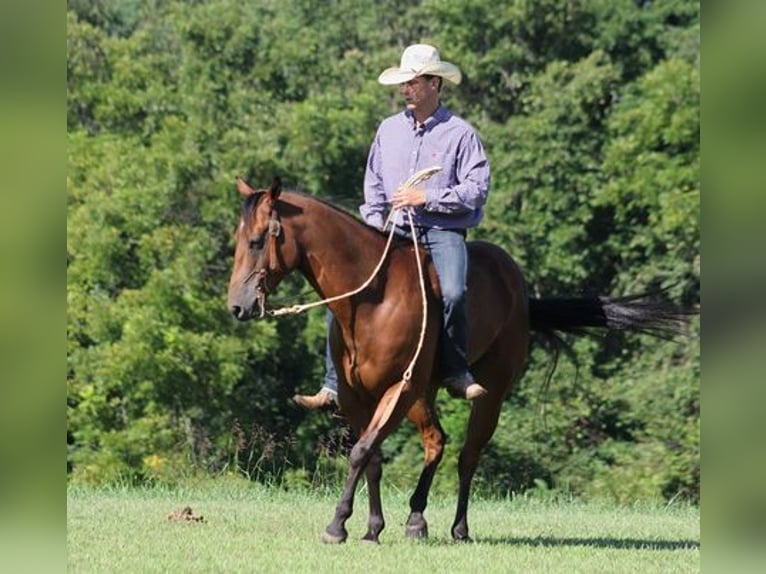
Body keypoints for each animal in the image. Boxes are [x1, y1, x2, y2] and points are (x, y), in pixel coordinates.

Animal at [227, 177, 692, 544]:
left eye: (257, 241)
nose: (237, 306)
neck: (373, 298)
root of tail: (519, 288)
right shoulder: (359, 398)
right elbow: (371, 456)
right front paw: (372, 528)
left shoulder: (400, 388)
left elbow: (361, 452)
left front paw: (337, 525)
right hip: (425, 394)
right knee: (436, 441)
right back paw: (416, 520)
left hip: (487, 394)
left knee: (468, 454)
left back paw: (459, 528)